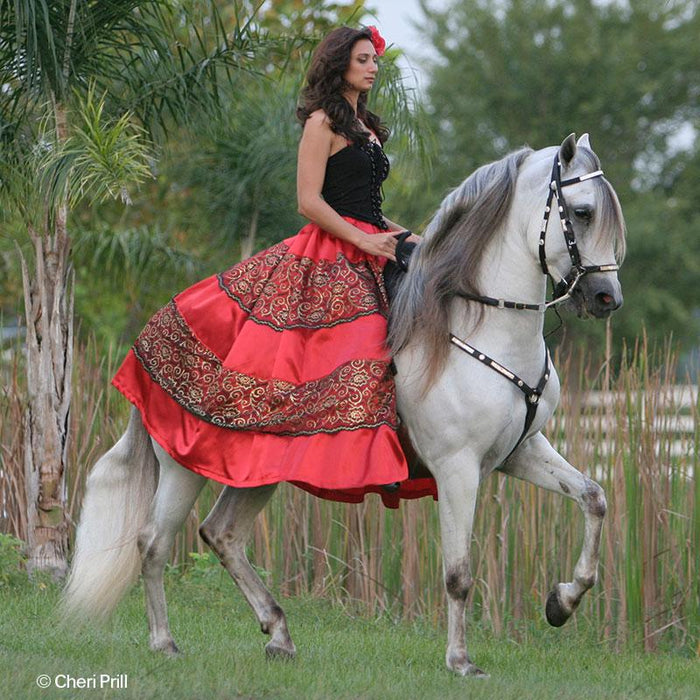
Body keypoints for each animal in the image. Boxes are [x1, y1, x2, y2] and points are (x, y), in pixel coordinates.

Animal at [62, 133, 625, 677]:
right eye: (581, 212)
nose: (606, 298)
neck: (479, 327)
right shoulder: (457, 468)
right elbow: (458, 574)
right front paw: (461, 661)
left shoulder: (519, 451)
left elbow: (594, 498)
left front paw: (562, 602)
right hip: (183, 464)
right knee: (154, 543)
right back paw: (165, 643)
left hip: (255, 472)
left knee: (220, 534)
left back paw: (279, 634)